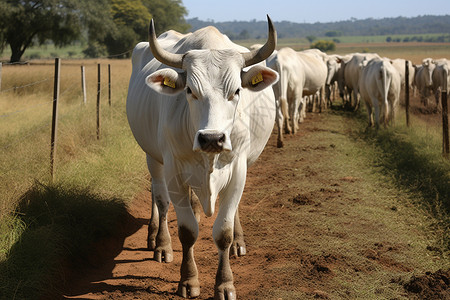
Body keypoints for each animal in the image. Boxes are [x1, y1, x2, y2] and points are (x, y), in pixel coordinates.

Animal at [126, 17, 280, 300]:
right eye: (189, 90)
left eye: (237, 90)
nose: (212, 138)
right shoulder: (173, 171)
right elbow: (187, 231)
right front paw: (188, 280)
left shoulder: (238, 170)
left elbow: (223, 231)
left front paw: (225, 283)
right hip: (152, 157)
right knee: (159, 198)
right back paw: (159, 242)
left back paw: (238, 242)